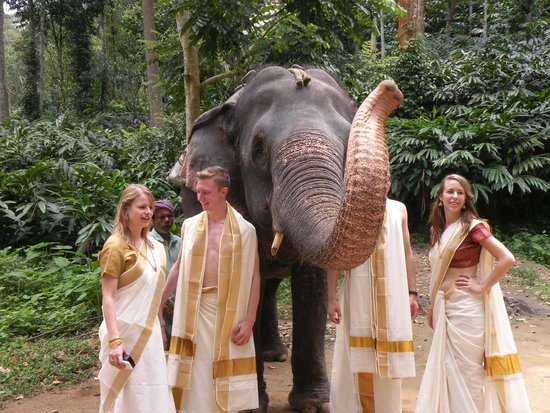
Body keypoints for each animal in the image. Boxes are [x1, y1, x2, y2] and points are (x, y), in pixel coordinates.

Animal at [174, 66, 406, 410]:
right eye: (258, 149)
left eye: (347, 141)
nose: (391, 88)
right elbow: (247, 281)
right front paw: (252, 406)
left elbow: (312, 282)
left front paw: (314, 404)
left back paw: (276, 353)